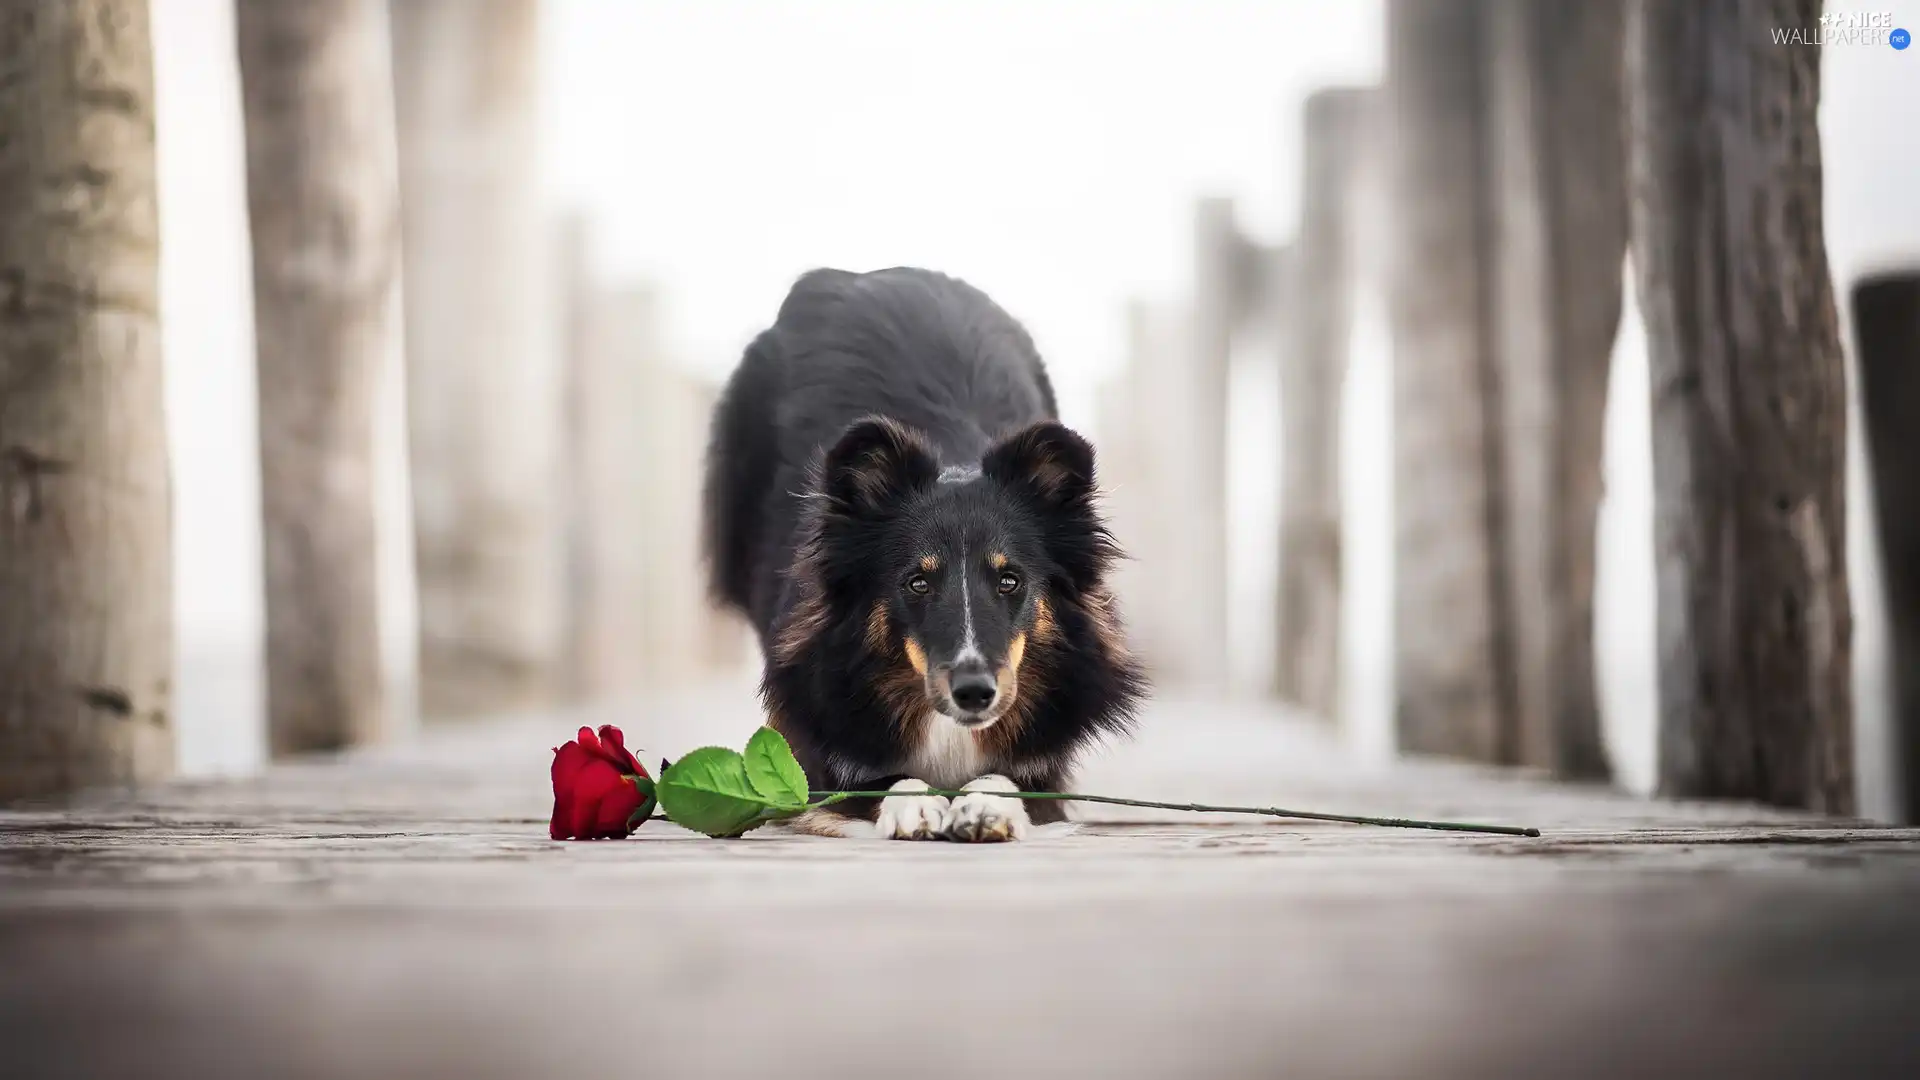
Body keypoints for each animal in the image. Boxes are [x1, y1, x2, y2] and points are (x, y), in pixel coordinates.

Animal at [710, 265, 1144, 837]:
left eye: (1010, 580)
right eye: (917, 582)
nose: (975, 693)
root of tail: (854, 275)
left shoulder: (1046, 766)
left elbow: (1012, 781)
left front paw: (985, 805)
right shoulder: (824, 749)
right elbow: (866, 779)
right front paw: (913, 803)